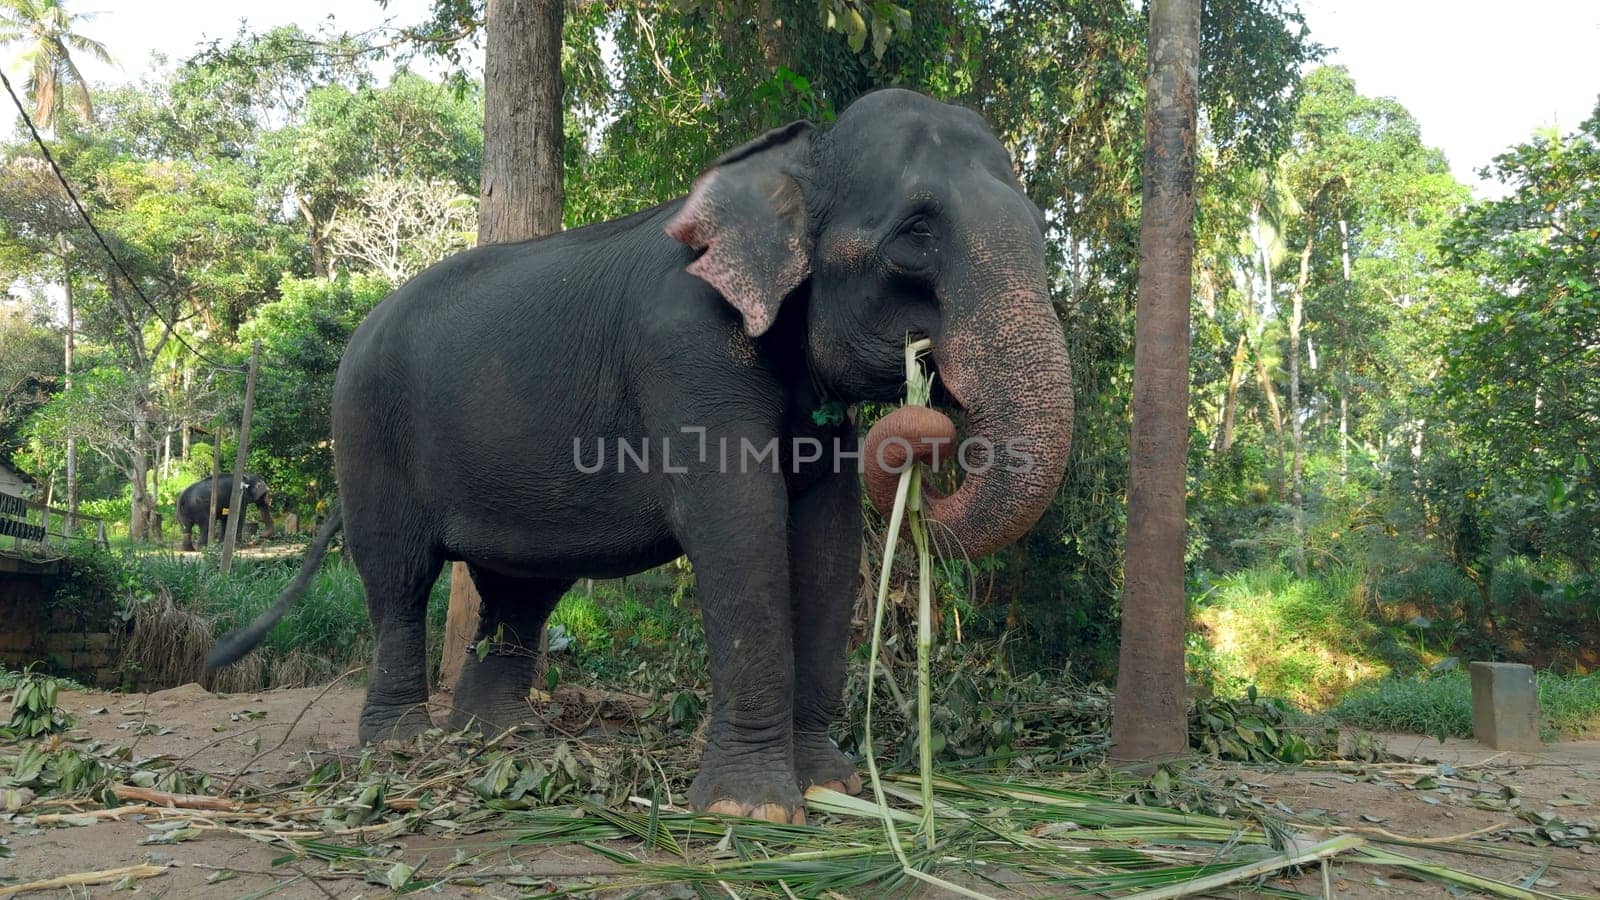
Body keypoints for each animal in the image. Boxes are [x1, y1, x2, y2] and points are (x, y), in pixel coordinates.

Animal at [203, 89, 1075, 819]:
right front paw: (750, 811)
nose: (930, 423)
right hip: (367, 429)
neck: (789, 158)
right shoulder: (684, 350)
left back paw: (503, 740)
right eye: (915, 237)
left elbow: (825, 539)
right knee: (399, 577)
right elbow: (737, 523)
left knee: (521, 588)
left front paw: (831, 787)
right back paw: (401, 742)